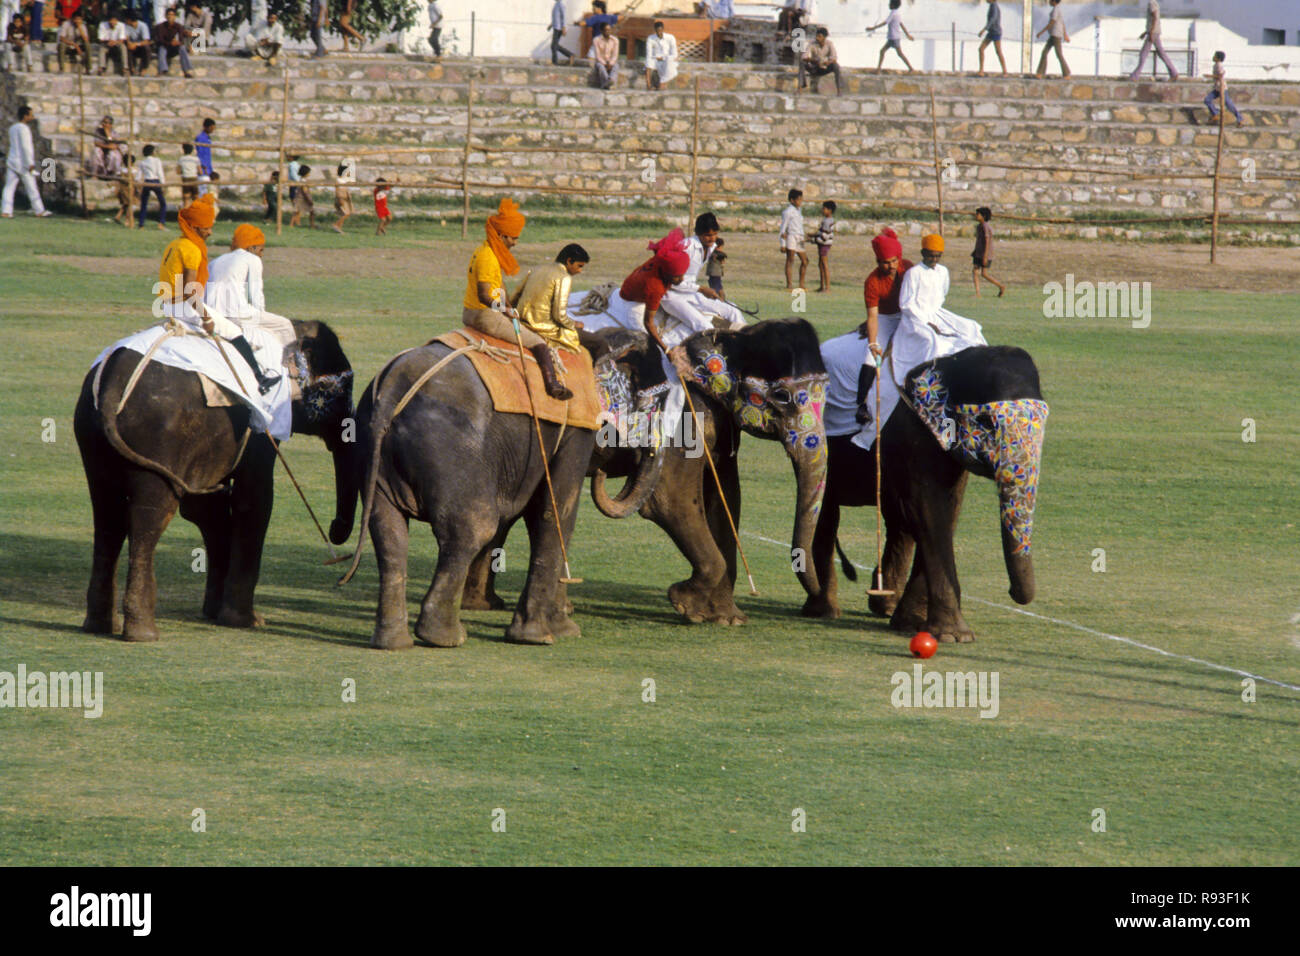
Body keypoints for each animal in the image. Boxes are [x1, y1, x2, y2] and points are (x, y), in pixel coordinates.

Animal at [76, 321, 361, 642]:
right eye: (341, 391)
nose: (335, 533)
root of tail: (112, 384)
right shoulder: (260, 424)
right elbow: (256, 500)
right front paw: (248, 621)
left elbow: (206, 508)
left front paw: (215, 613)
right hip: (157, 439)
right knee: (149, 517)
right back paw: (143, 633)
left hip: (91, 435)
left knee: (108, 516)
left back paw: (100, 625)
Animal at [340, 335, 613, 650]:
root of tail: (389, 392)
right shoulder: (576, 424)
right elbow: (554, 512)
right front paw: (547, 635)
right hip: (450, 450)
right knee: (474, 528)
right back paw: (445, 637)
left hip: (371, 449)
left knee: (389, 533)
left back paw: (394, 643)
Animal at [465, 317, 832, 624]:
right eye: (782, 397)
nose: (817, 604)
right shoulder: (682, 424)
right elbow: (671, 503)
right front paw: (684, 602)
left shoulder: (717, 428)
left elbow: (726, 500)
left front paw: (727, 618)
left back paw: (486, 603)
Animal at [795, 343, 1050, 642]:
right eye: (986, 421)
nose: (1010, 592)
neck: (952, 362)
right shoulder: (912, 430)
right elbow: (928, 509)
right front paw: (953, 636)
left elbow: (949, 508)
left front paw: (912, 625)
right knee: (827, 510)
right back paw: (824, 611)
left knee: (898, 521)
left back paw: (884, 605)